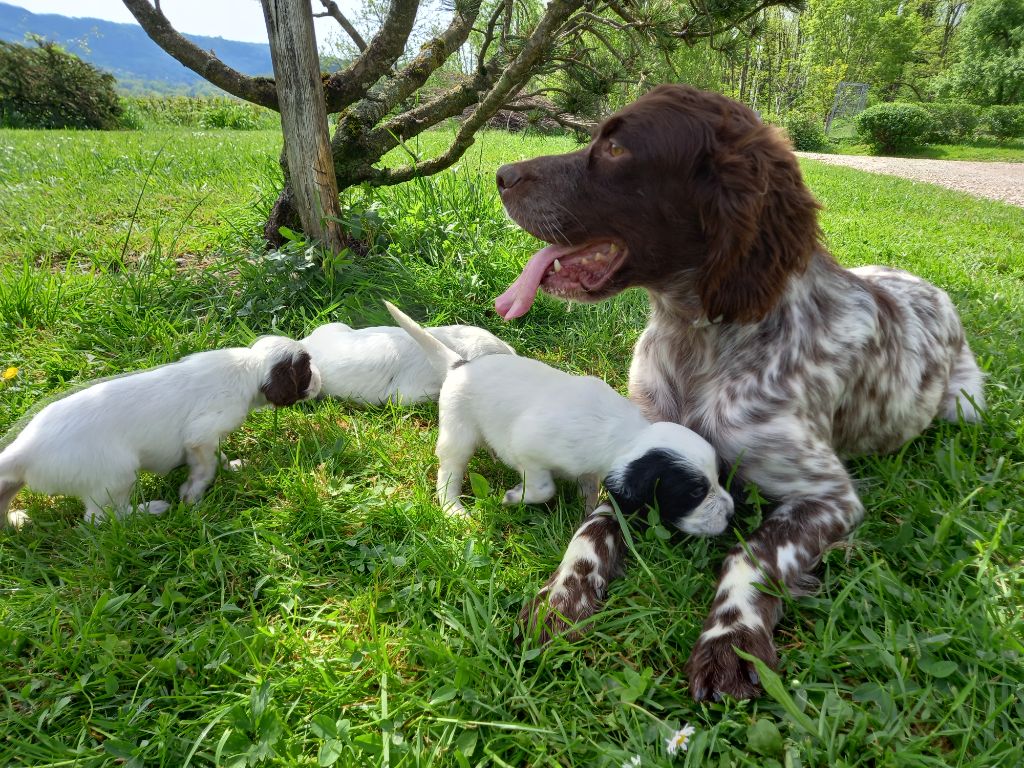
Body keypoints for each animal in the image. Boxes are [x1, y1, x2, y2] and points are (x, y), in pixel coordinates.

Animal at [0, 335, 319, 528]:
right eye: (306, 369)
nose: (319, 380)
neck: (248, 368)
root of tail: (23, 450)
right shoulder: (201, 435)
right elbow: (205, 467)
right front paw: (192, 496)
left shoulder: (207, 439)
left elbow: (219, 457)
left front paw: (234, 467)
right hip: (117, 475)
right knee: (101, 519)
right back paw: (150, 510)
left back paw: (15, 521)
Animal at [495, 83, 983, 704]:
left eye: (616, 148)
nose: (501, 174)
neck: (697, 342)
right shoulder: (635, 449)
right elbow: (593, 528)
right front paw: (564, 595)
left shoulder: (830, 496)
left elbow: (751, 553)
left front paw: (732, 640)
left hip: (967, 407)